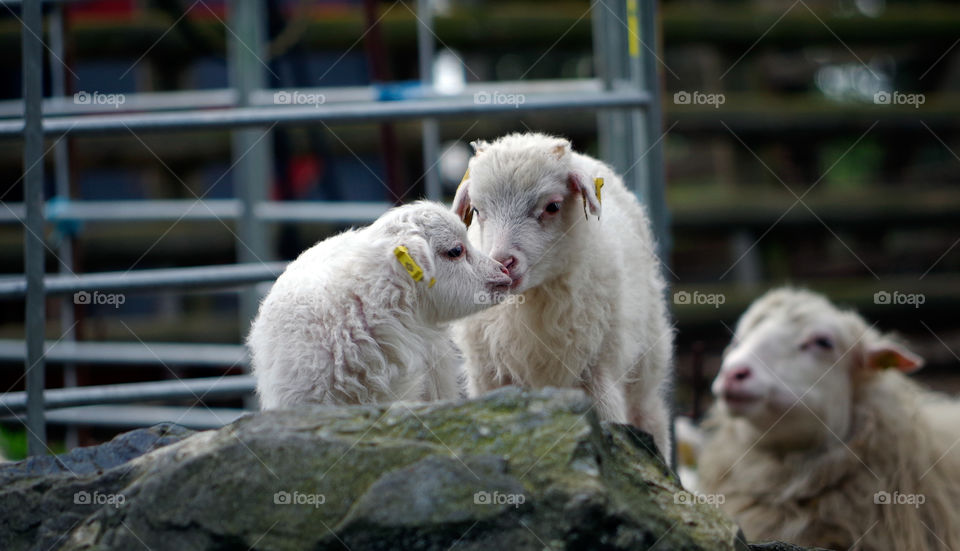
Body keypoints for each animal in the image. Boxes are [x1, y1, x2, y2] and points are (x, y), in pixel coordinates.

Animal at [454, 133, 672, 458]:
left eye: (553, 206)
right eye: (478, 211)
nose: (503, 263)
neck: (530, 303)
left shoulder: (598, 374)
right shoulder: (488, 378)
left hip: (645, 366)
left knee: (651, 417)